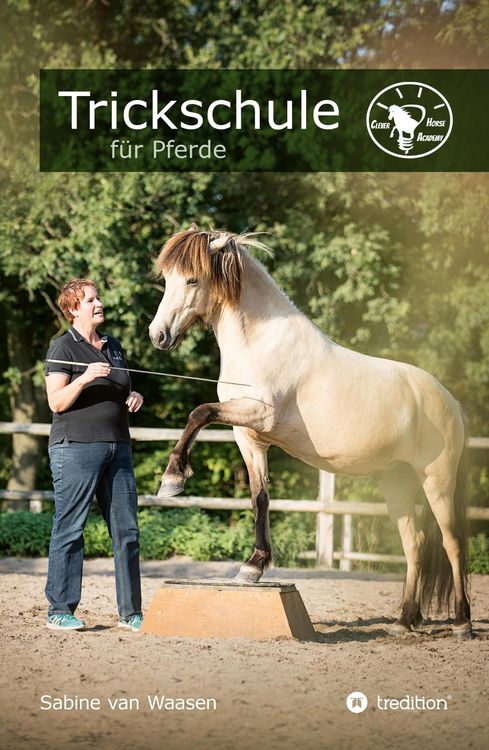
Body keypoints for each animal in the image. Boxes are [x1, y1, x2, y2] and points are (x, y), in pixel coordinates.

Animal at [149, 226, 473, 639]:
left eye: (191, 279)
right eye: (166, 279)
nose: (158, 335)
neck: (262, 342)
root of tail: (450, 401)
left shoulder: (258, 414)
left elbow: (198, 413)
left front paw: (172, 479)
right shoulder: (248, 437)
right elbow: (260, 499)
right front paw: (253, 567)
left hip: (437, 479)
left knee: (452, 543)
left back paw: (462, 622)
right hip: (396, 481)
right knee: (413, 544)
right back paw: (403, 621)